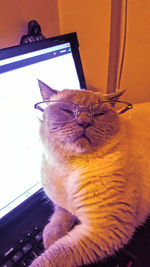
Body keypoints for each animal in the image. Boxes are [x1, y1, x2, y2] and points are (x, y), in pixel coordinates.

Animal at [29, 80, 150, 266]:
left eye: (98, 114)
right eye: (68, 111)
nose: (85, 122)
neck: (67, 166)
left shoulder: (103, 229)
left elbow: (53, 256)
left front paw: (47, 248)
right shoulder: (62, 204)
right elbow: (60, 215)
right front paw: (50, 239)